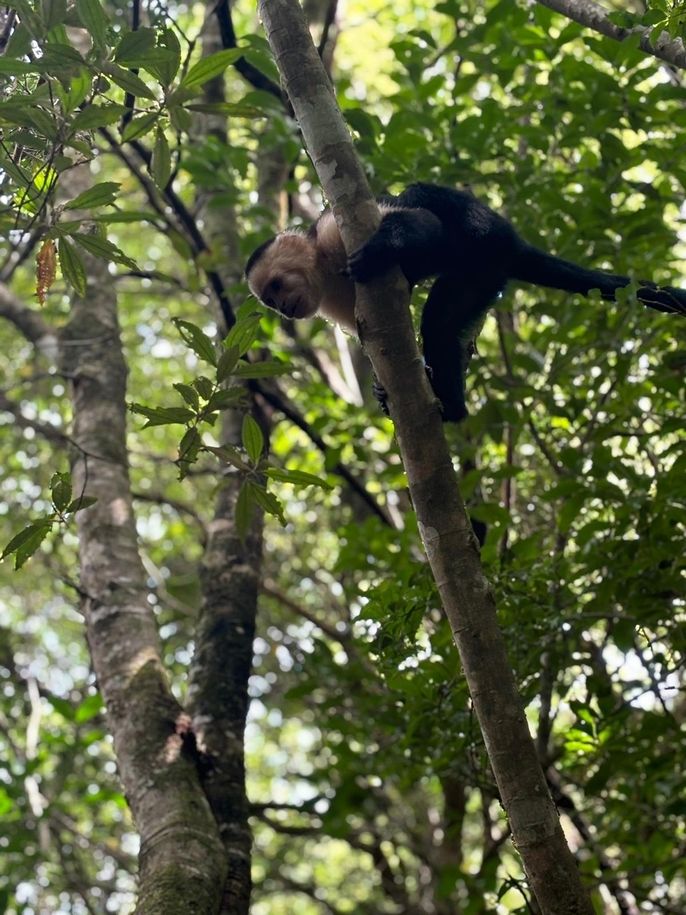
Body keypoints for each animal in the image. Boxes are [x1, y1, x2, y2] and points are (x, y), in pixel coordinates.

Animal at [247, 182, 686, 422]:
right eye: (269, 300)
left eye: (277, 286)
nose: (283, 309)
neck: (323, 265)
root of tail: (511, 246)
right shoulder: (331, 300)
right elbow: (371, 340)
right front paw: (381, 390)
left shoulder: (334, 231)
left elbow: (426, 226)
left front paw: (383, 248)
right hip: (483, 278)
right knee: (445, 321)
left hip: (486, 241)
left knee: (425, 209)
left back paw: (450, 408)